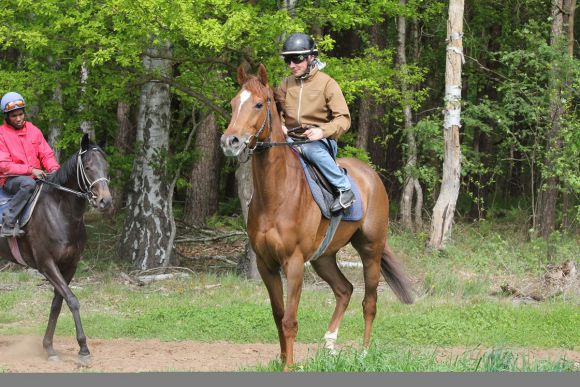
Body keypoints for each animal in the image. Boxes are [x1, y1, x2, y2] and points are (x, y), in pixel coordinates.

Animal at [0, 134, 111, 364]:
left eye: (106, 166)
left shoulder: (69, 266)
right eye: (88, 167)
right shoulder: (46, 264)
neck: (61, 212)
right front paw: (83, 349)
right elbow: (72, 300)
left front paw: (49, 348)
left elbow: (57, 303)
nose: (105, 201)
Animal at [220, 65, 414, 372]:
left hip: (370, 250)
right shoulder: (266, 264)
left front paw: (289, 366)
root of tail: (370, 176)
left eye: (259, 104)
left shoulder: (294, 263)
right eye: (232, 103)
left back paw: (364, 353)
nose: (231, 141)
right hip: (324, 257)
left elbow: (290, 320)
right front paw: (283, 359)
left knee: (369, 302)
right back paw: (330, 345)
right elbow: (278, 315)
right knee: (344, 290)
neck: (277, 194)